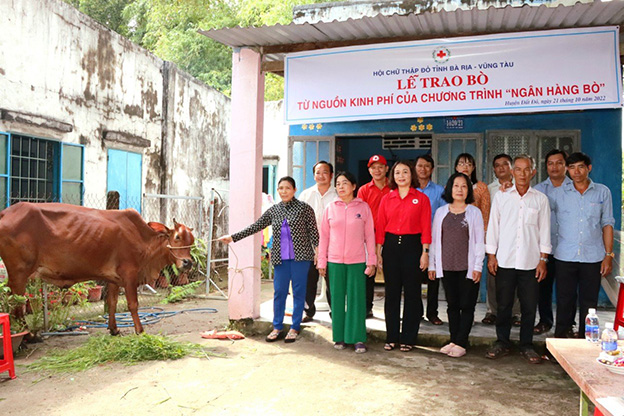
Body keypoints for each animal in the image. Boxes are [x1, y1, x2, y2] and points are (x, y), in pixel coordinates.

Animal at [0, 202, 194, 334]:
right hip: (19, 273)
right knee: (15, 303)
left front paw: (114, 329)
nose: (188, 263)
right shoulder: (129, 274)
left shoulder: (115, 279)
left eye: (191, 241)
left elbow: (112, 302)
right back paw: (28, 336)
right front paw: (139, 330)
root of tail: (6, 212)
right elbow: (133, 304)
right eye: (177, 237)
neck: (143, 240)